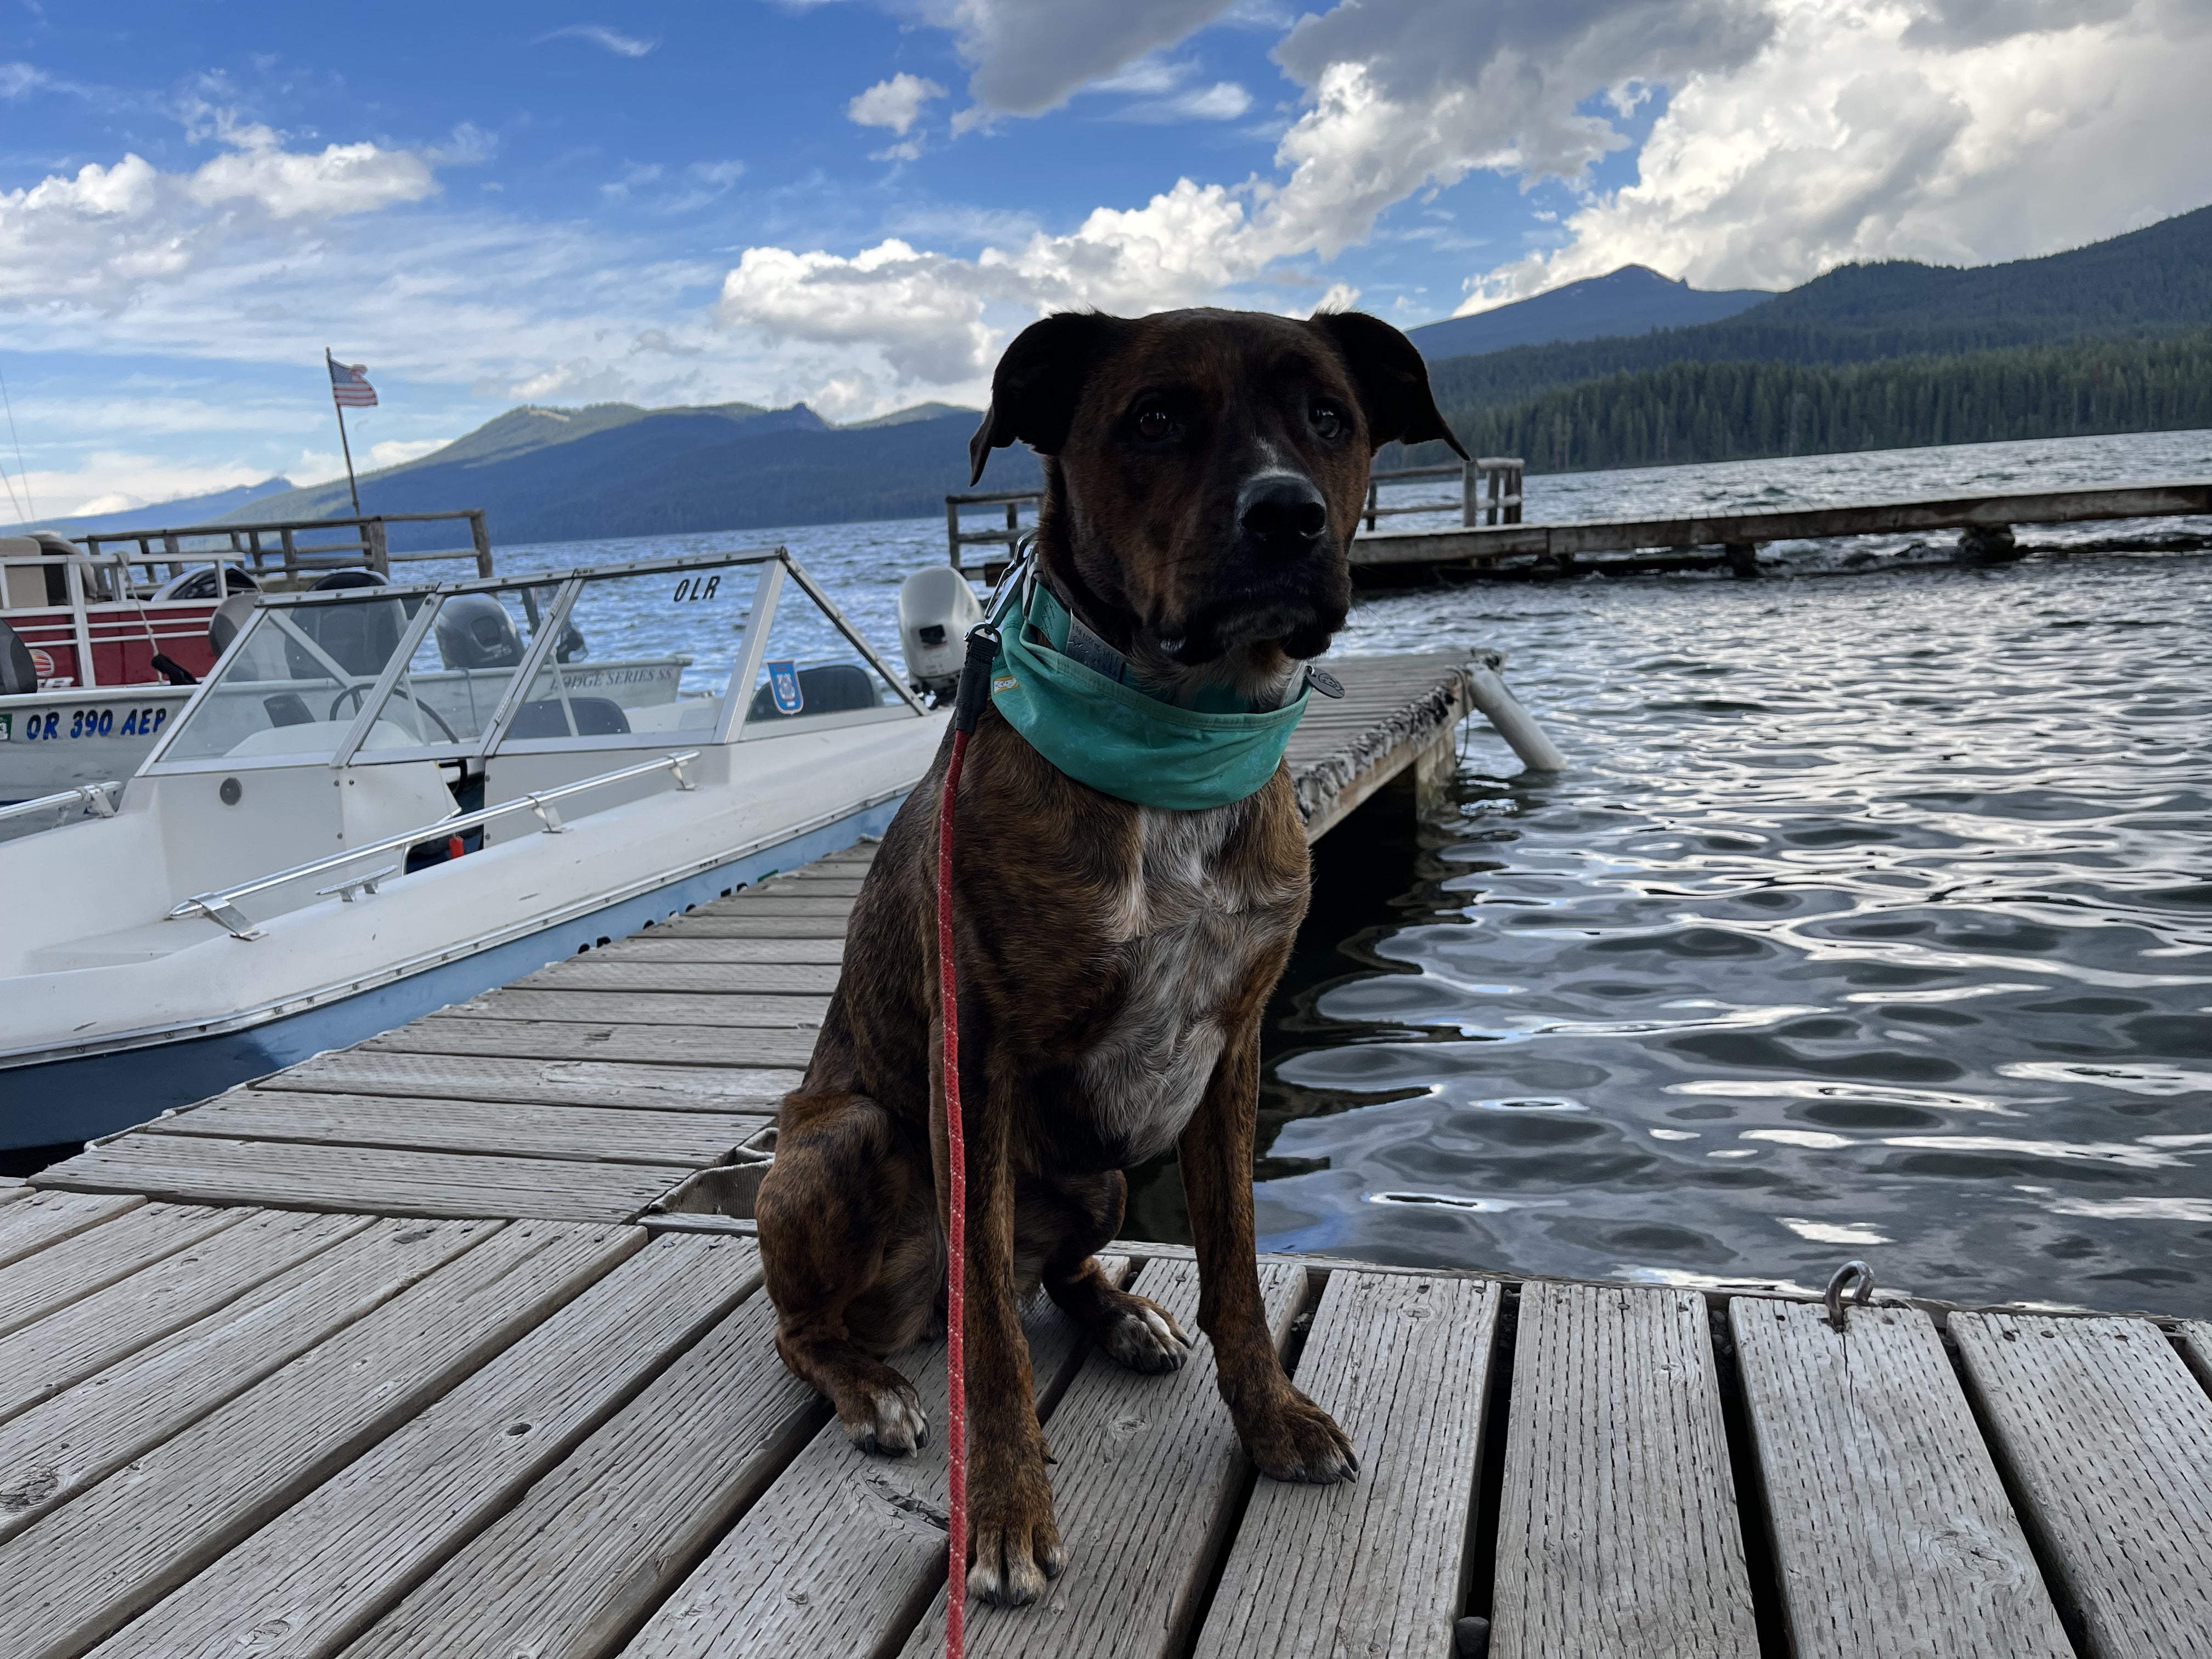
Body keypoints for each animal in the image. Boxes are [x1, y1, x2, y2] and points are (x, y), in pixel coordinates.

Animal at [761, 303, 1469, 1610]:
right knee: (827, 1323)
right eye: (1153, 418)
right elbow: (992, 1338)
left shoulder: (1231, 1052)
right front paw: (1004, 1511)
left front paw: (1272, 1415)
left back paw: (1122, 1314)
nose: (1285, 514)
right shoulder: (976, 1071)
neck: (1177, 732)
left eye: (1329, 416)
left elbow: (1236, 1268)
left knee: (1052, 1271)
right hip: (852, 1133)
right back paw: (871, 1386)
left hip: (1091, 1176)